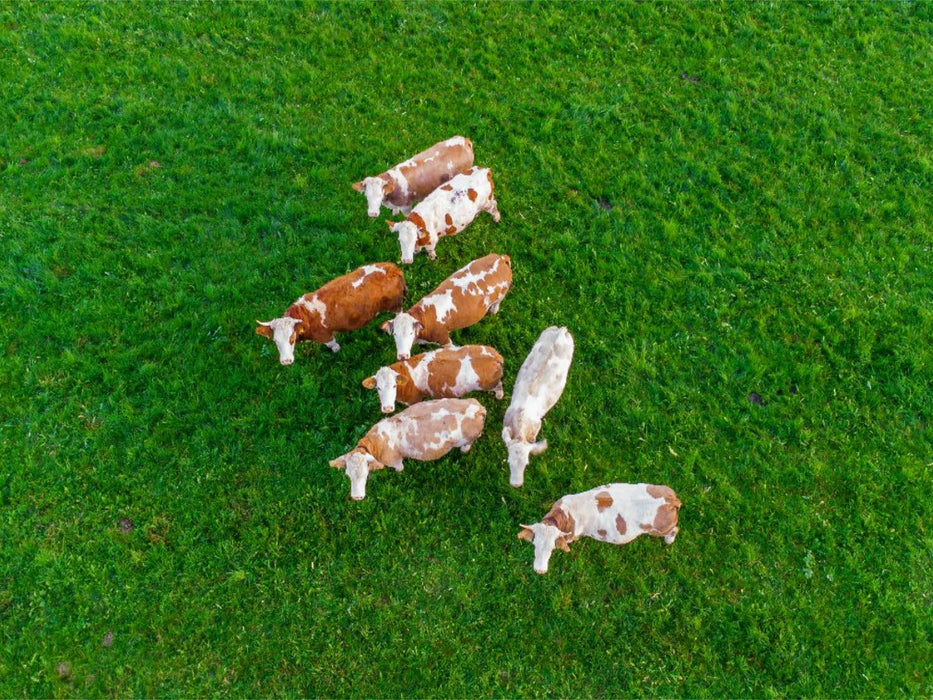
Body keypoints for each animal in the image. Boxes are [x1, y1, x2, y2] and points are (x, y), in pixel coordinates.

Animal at [255, 263, 405, 365]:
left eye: (291, 338)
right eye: (275, 341)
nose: (286, 361)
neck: (305, 315)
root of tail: (393, 268)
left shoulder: (325, 335)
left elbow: (333, 345)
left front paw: (336, 352)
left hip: (395, 305)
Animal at [329, 398, 487, 500]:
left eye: (366, 475)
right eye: (348, 475)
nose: (357, 497)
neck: (377, 442)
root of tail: (478, 408)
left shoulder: (396, 461)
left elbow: (399, 469)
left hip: (468, 439)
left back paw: (463, 451)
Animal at [362, 345, 505, 414]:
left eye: (394, 386)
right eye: (378, 388)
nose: (387, 408)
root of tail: (495, 356)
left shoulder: (414, 400)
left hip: (488, 384)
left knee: (499, 385)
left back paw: (499, 395)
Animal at [380, 253, 512, 362]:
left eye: (411, 333)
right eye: (395, 334)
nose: (402, 356)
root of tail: (501, 259)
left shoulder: (444, 339)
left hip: (502, 293)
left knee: (498, 302)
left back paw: (493, 310)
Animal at [518, 483, 682, 574]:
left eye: (552, 548)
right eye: (534, 544)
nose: (539, 571)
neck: (563, 514)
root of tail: (671, 500)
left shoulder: (571, 536)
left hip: (660, 529)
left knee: (676, 529)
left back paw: (669, 540)